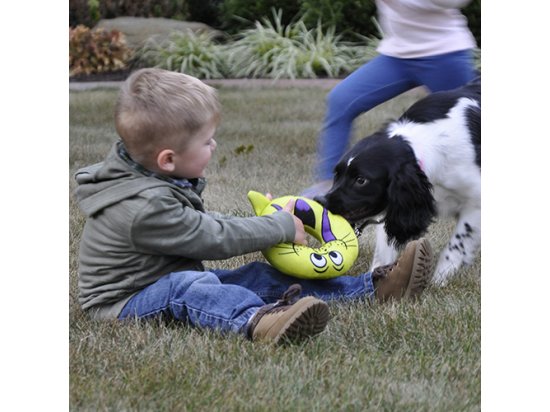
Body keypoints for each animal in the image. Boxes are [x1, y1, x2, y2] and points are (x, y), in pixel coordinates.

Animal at [322, 77, 480, 284]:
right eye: (337, 174)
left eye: (361, 180)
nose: (320, 201)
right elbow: (385, 249)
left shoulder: (475, 203)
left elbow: (457, 244)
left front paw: (440, 279)